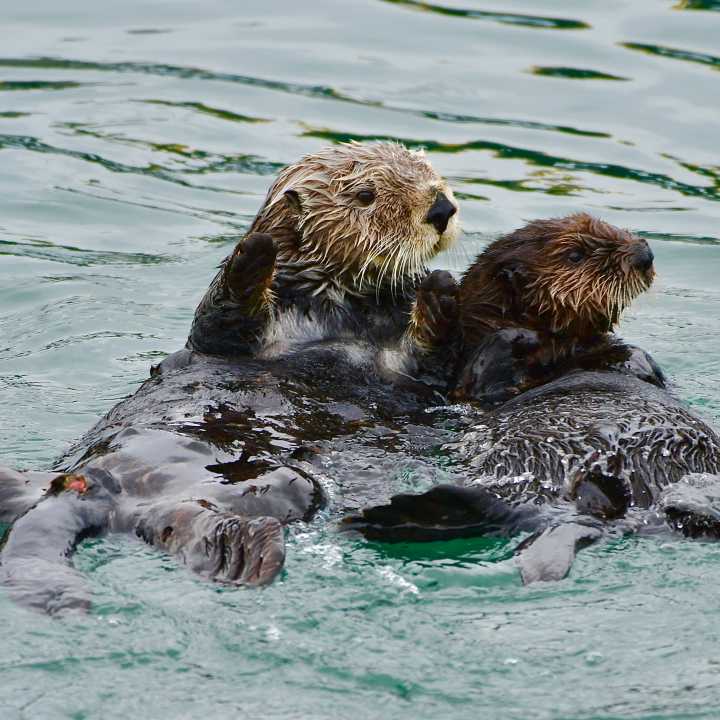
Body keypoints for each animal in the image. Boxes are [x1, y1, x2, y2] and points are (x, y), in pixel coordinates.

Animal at [0, 144, 460, 614]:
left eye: (428, 169)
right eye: (366, 195)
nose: (441, 207)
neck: (340, 312)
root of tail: (88, 490)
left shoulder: (410, 367)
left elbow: (433, 356)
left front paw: (440, 287)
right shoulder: (227, 335)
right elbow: (225, 312)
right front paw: (255, 251)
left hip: (278, 486)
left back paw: (245, 555)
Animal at [345, 214, 720, 583]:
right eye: (575, 255)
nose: (644, 254)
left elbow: (629, 357)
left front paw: (633, 361)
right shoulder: (465, 387)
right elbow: (478, 382)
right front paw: (499, 326)